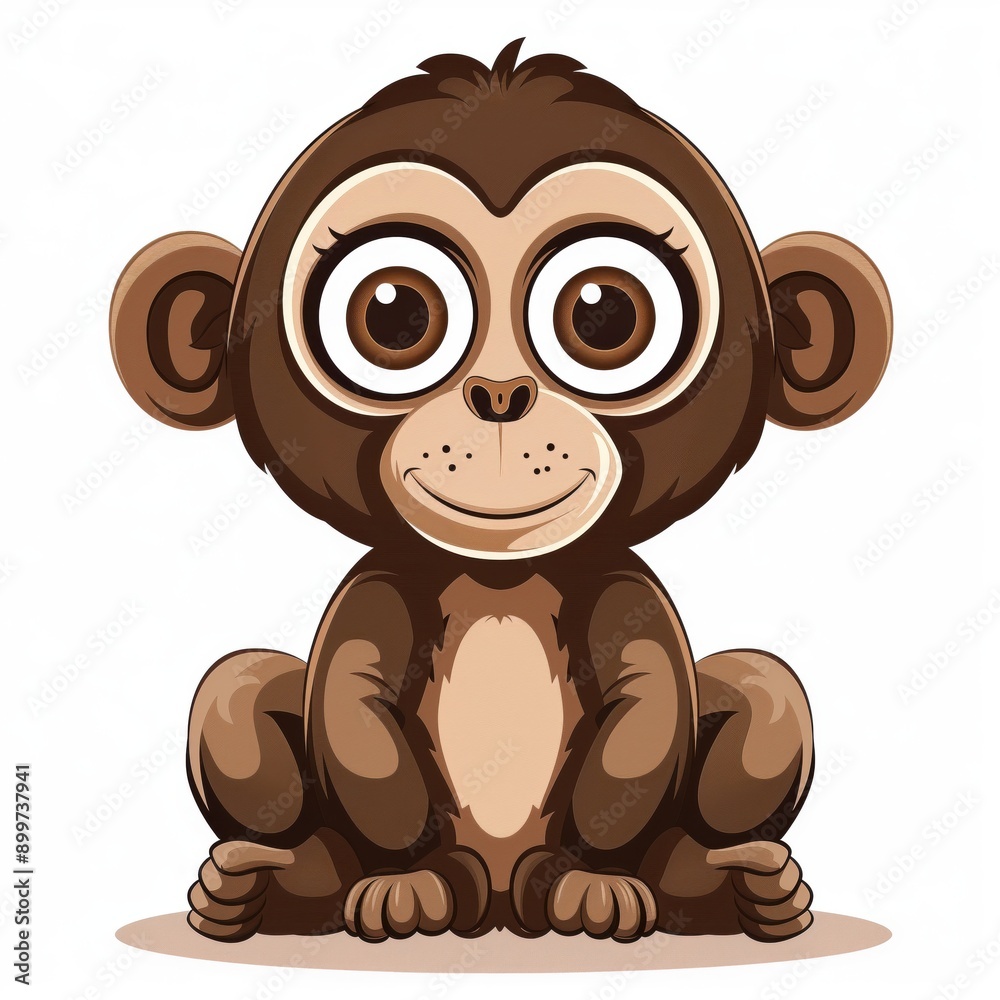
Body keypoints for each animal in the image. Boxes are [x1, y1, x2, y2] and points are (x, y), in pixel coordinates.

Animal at [109, 40, 891, 945]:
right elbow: (349, 704)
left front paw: (594, 881)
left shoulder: (619, 583)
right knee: (234, 694)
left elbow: (650, 704)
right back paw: (268, 883)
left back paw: (735, 882)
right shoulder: (383, 583)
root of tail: (501, 901)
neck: (501, 576)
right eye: (394, 312)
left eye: (604, 312)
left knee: (767, 694)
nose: (500, 394)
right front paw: (407, 881)